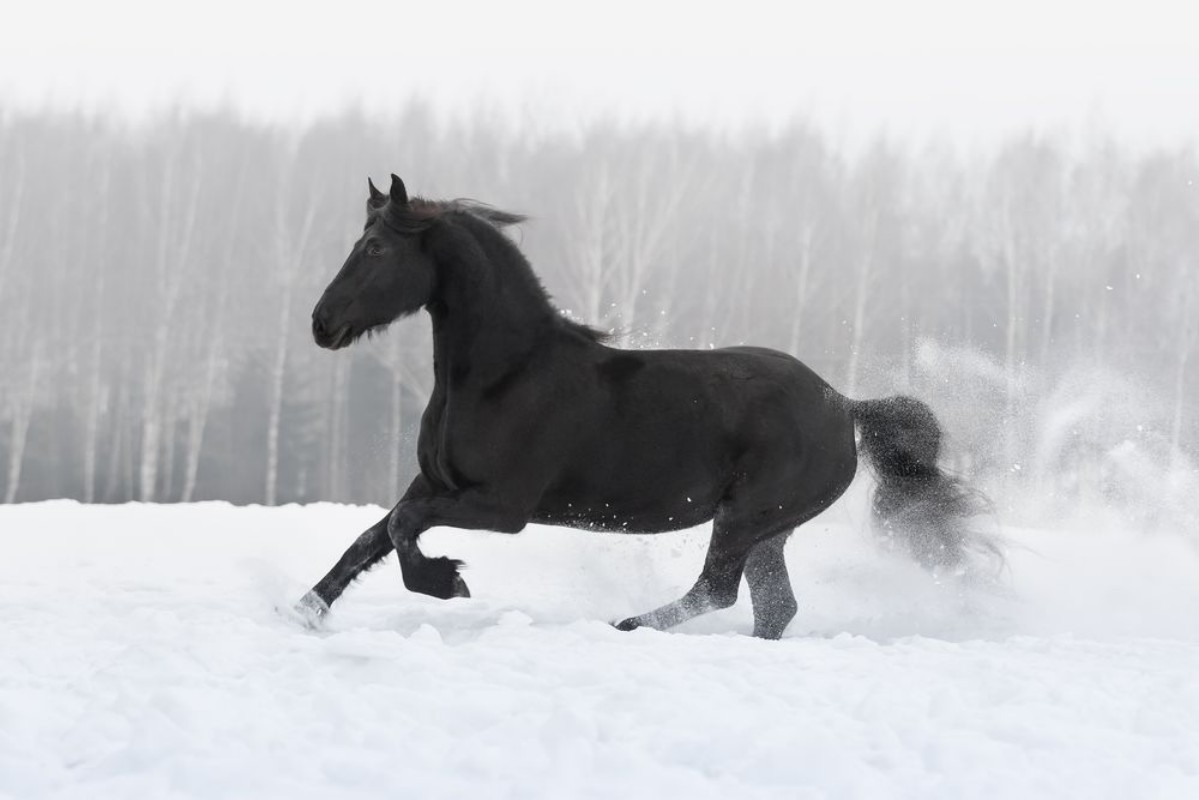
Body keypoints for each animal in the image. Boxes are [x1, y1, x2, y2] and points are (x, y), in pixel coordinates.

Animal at [296, 174, 994, 639]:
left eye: (377, 249)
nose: (321, 324)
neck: (504, 375)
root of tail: (845, 406)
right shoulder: (434, 482)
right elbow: (375, 533)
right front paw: (304, 608)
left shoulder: (501, 506)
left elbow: (403, 528)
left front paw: (448, 580)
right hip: (768, 529)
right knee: (773, 607)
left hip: (746, 517)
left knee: (717, 590)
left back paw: (623, 625)